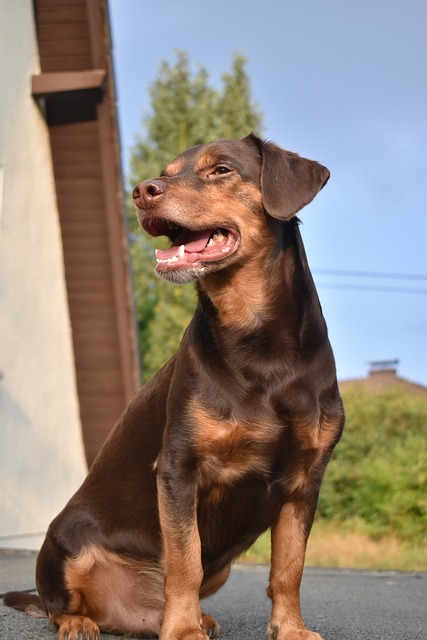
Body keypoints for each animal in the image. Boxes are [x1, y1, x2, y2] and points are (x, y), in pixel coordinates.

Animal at [4, 132, 344, 636]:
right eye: (165, 173)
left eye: (221, 170)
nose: (142, 191)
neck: (262, 348)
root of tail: (125, 614)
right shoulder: (179, 470)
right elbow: (185, 562)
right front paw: (182, 629)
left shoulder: (304, 482)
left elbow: (289, 568)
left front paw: (290, 628)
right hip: (63, 542)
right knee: (55, 603)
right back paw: (83, 621)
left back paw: (194, 617)